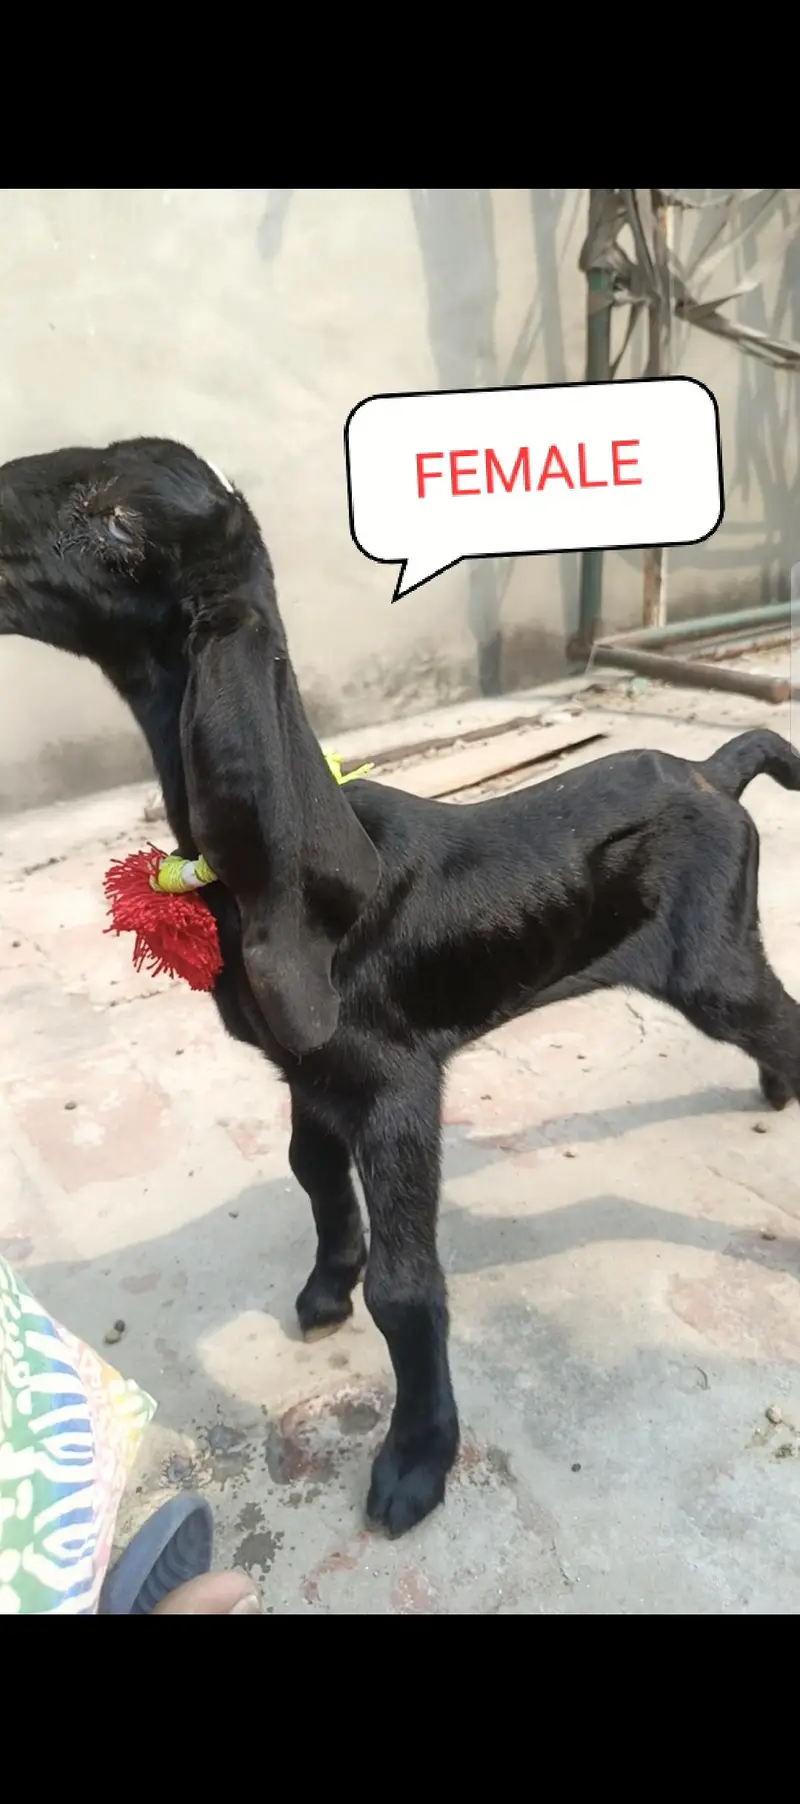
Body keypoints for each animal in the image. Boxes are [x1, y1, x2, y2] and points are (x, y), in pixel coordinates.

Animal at [2, 435, 800, 1537]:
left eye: (118, 520)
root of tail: (715, 769)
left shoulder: (396, 1086)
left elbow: (408, 1286)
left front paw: (417, 1457)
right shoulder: (309, 1070)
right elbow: (309, 1170)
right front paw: (324, 1287)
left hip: (711, 964)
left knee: (777, 1016)